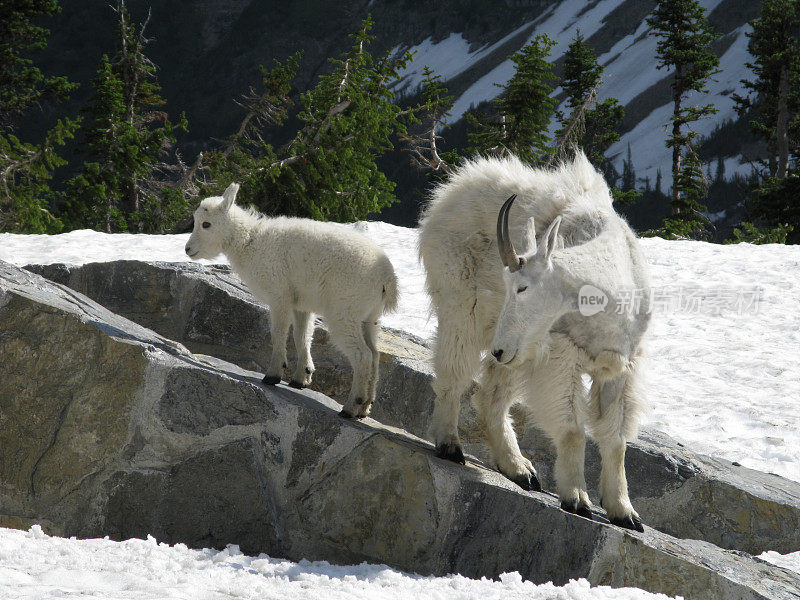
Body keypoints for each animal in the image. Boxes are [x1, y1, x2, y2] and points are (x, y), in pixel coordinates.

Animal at [188, 183, 400, 418]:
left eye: (206, 224)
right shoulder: (302, 304)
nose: (188, 249)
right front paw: (301, 378)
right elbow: (302, 336)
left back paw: (351, 406)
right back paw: (365, 407)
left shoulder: (279, 296)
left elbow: (279, 333)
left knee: (362, 355)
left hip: (345, 312)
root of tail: (387, 280)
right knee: (375, 355)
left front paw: (273, 375)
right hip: (369, 317)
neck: (250, 242)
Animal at [418, 154, 648, 528]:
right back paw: (450, 445)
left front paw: (624, 511)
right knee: (454, 374)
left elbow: (616, 441)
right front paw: (577, 498)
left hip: (518, 352)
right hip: (464, 306)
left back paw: (519, 468)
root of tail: (450, 190)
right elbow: (572, 428)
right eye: (508, 286)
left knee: (492, 394)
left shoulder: (620, 365)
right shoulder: (559, 356)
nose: (498, 348)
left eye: (523, 287)